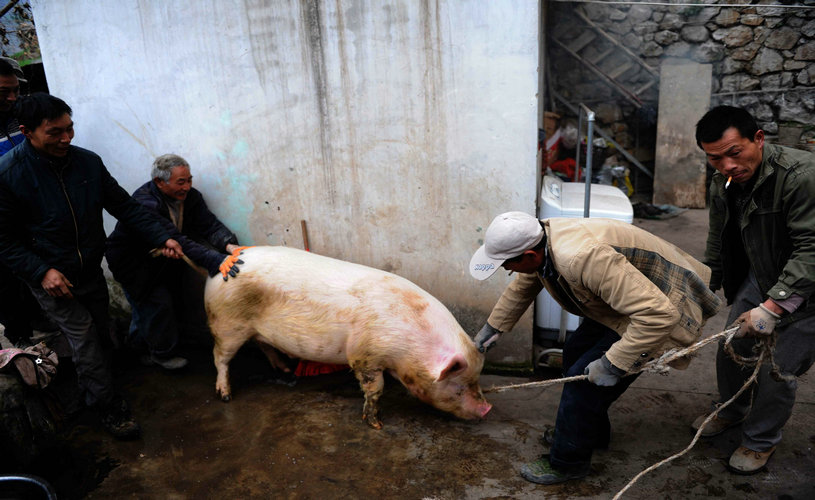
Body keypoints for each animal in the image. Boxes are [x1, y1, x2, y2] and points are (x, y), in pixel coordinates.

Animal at [204, 246, 490, 430]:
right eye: (458, 387)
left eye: (477, 380)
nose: (487, 409)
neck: (410, 346)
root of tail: (218, 267)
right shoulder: (363, 354)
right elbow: (375, 388)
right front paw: (376, 424)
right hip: (226, 323)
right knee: (220, 358)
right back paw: (226, 395)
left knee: (263, 345)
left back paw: (284, 370)